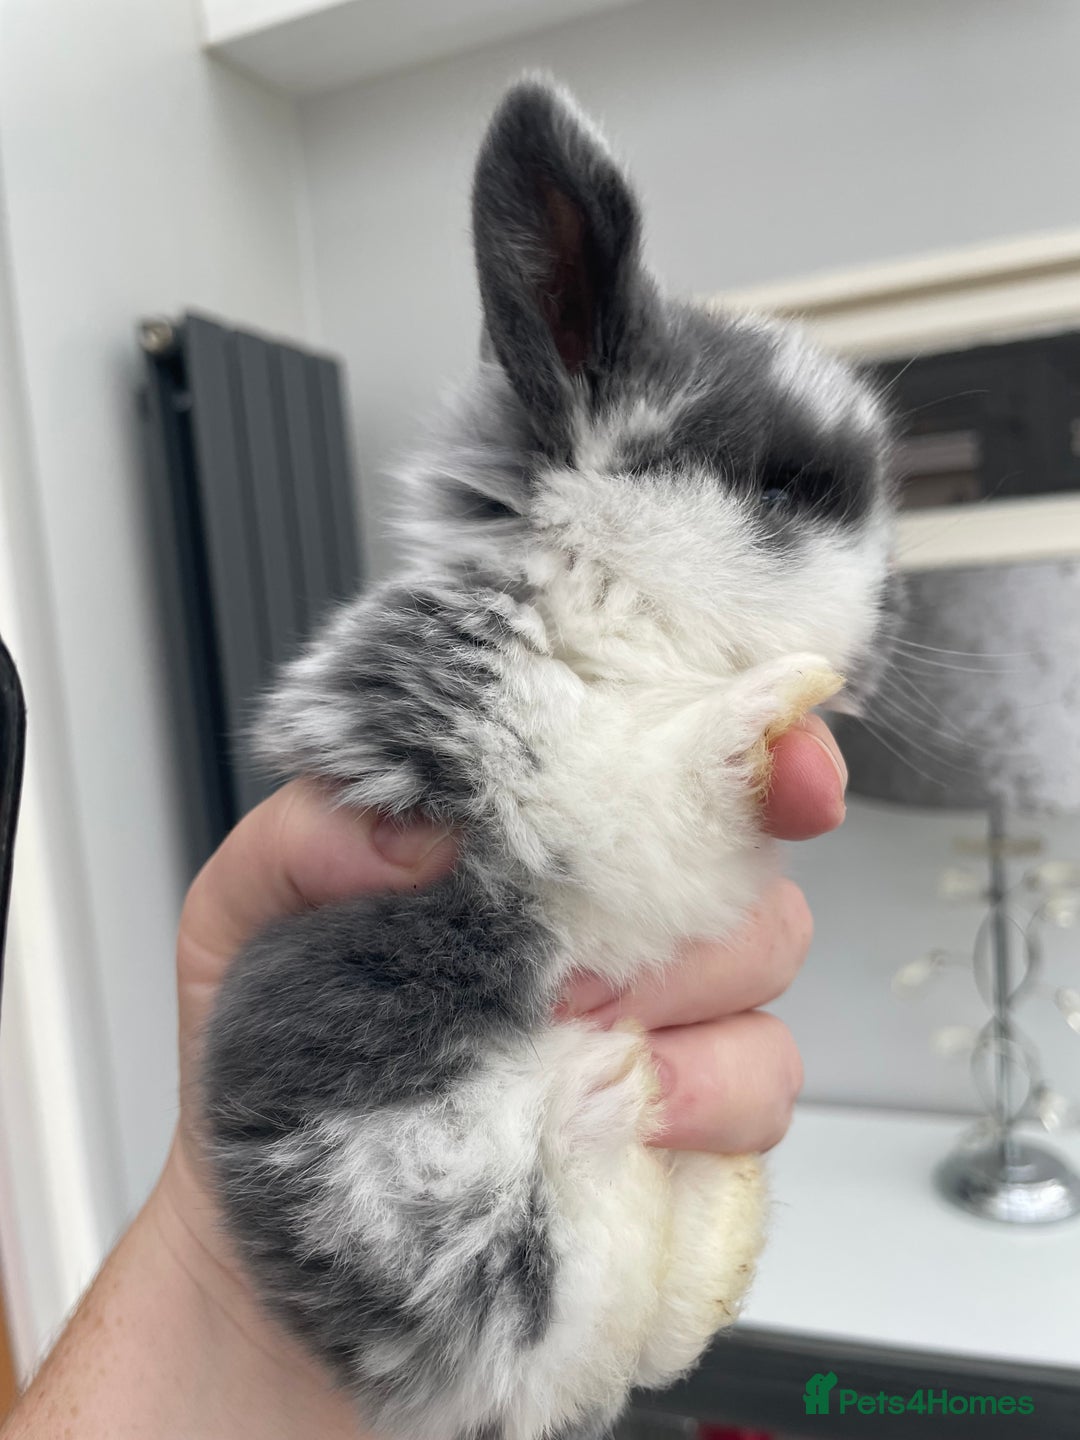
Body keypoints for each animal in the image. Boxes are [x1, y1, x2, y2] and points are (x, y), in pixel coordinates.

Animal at [202, 78, 894, 1440]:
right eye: (781, 487)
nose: (875, 619)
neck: (607, 607)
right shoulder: (549, 769)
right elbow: (660, 774)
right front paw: (775, 700)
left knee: (646, 1321)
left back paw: (715, 1187)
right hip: (408, 1185)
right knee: (546, 1294)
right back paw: (607, 1096)